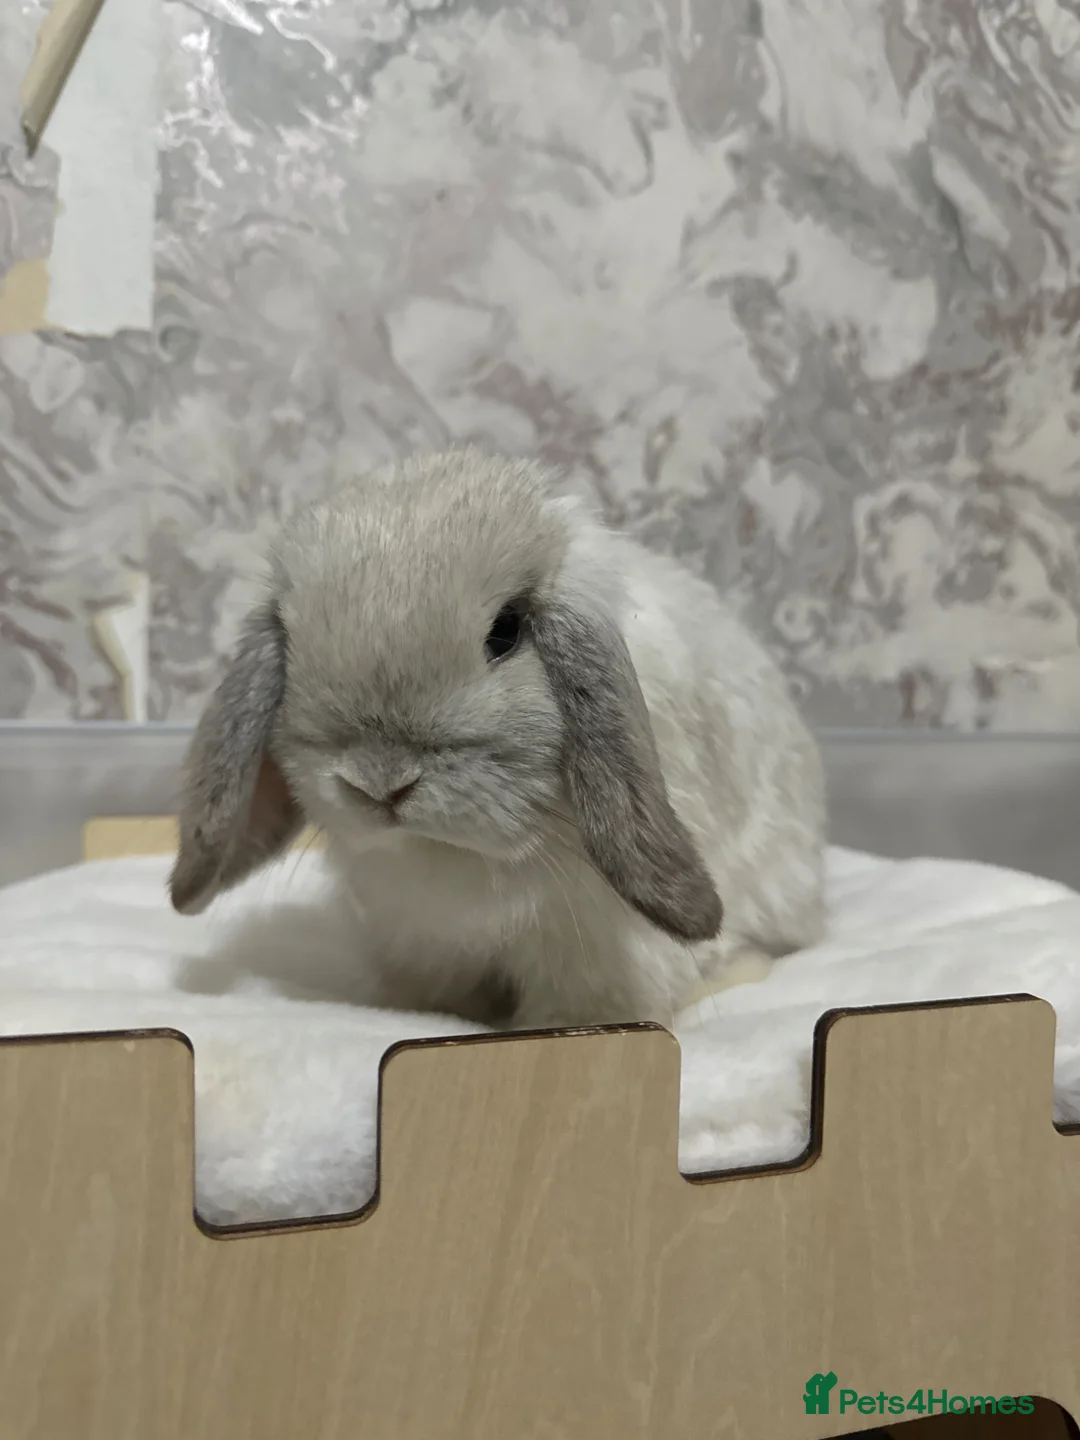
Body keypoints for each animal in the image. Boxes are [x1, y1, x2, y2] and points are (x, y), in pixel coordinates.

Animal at [168, 446, 827, 1031]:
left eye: (506, 632)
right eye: (289, 642)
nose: (380, 785)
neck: (452, 853)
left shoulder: (595, 946)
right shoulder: (420, 941)